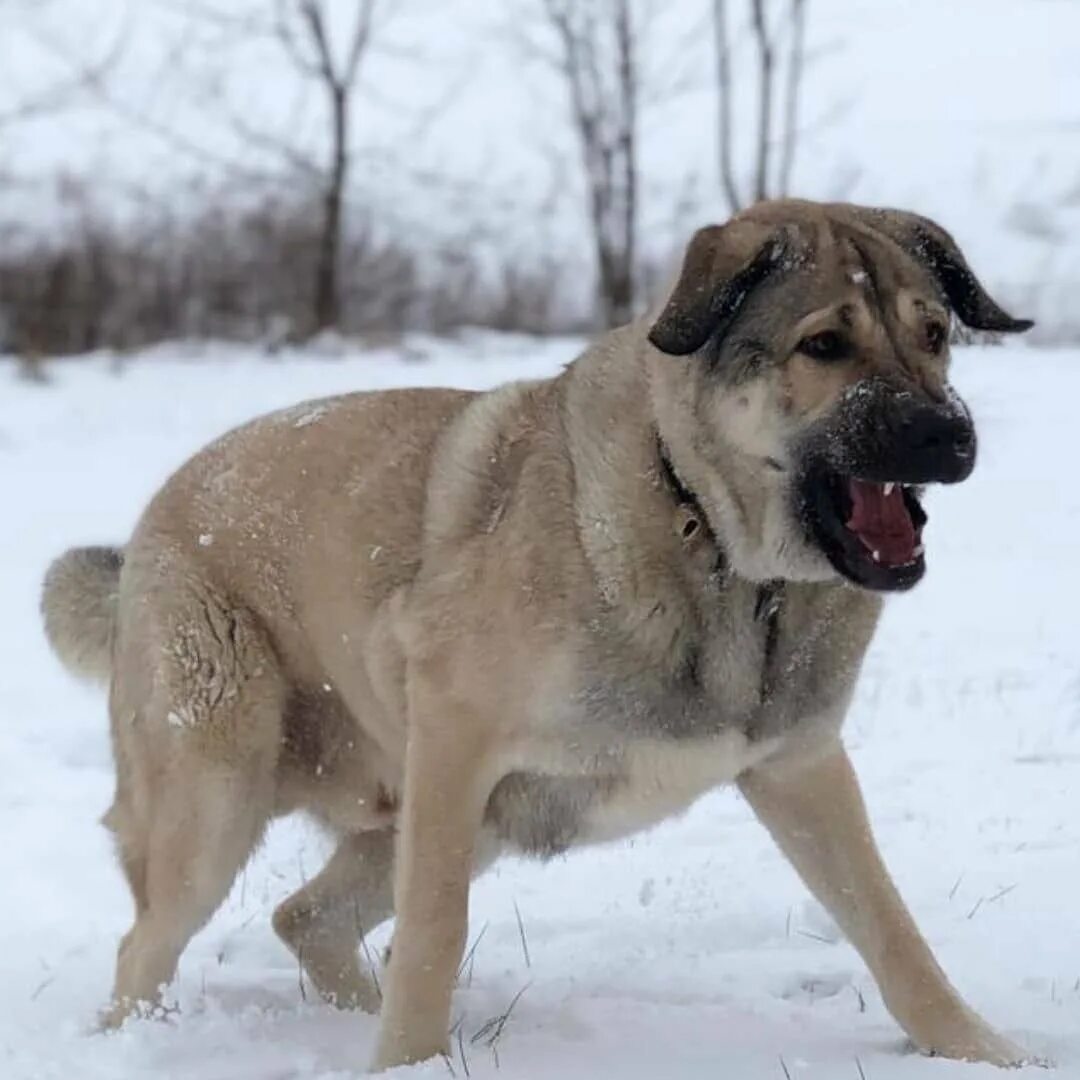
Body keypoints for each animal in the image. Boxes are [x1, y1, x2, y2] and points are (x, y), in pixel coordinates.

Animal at [42, 200, 1032, 1071]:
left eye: (935, 334)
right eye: (825, 345)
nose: (950, 436)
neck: (712, 542)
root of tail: (144, 534)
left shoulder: (800, 769)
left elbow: (892, 930)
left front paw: (988, 1054)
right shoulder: (454, 739)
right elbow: (434, 933)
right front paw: (411, 1065)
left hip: (461, 818)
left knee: (304, 920)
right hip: (221, 798)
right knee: (148, 948)